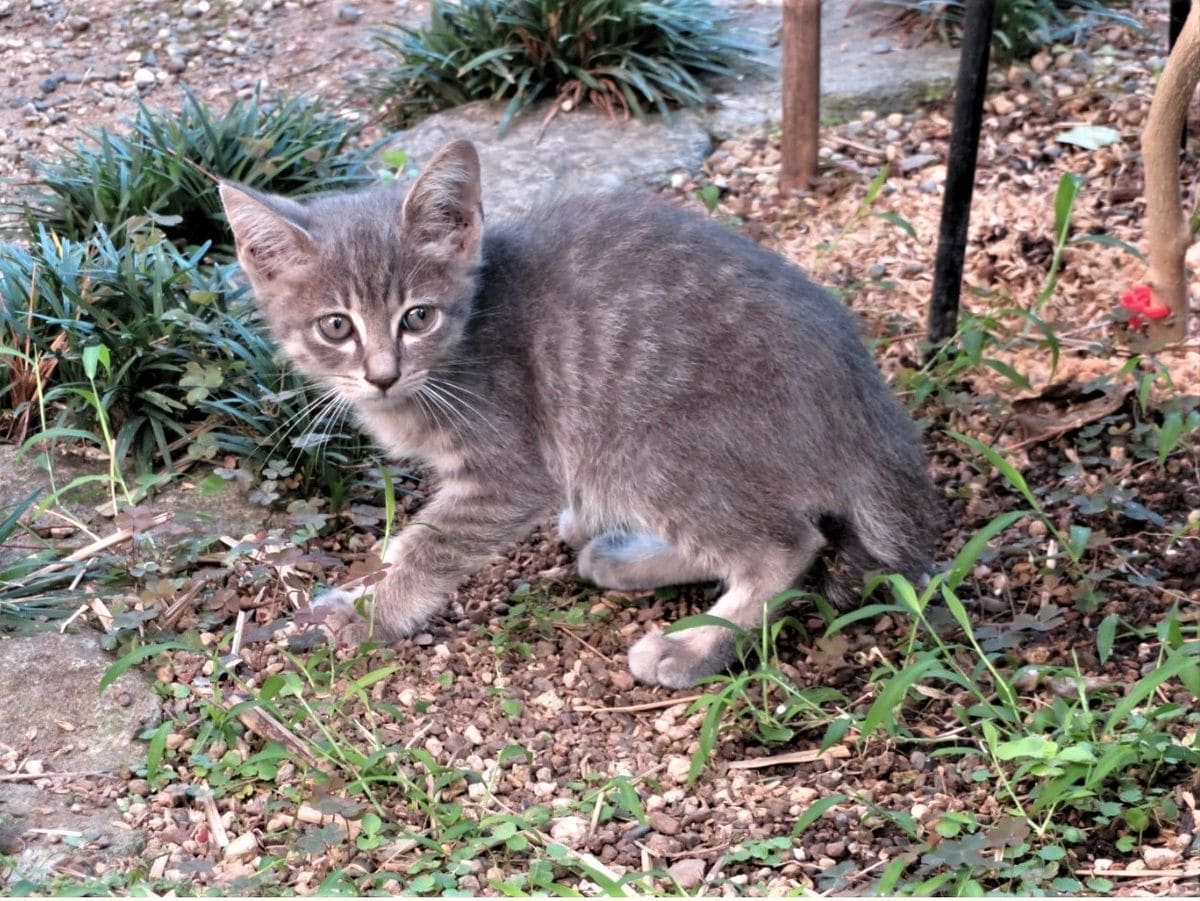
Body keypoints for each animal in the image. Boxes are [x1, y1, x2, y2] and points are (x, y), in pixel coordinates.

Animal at [218, 139, 936, 691]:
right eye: (336, 326)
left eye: (417, 317)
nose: (382, 374)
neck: (462, 339)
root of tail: (866, 403)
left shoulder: (507, 471)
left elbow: (434, 543)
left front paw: (373, 611)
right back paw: (622, 555)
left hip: (645, 445)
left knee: (786, 544)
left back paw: (693, 645)